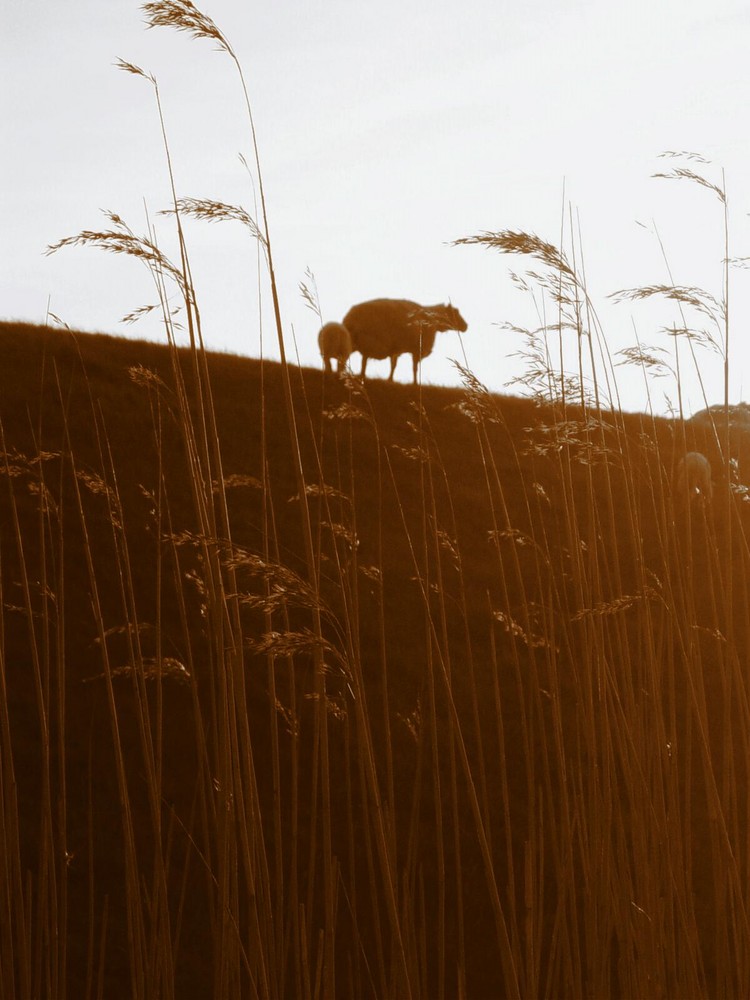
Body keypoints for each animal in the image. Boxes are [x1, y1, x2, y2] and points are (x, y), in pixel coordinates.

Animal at [342, 296, 470, 382]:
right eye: (455, 312)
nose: (466, 327)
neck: (432, 320)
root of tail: (349, 318)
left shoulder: (397, 349)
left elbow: (394, 365)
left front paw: (390, 380)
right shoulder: (416, 349)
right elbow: (414, 368)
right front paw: (415, 383)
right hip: (365, 342)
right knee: (360, 362)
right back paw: (358, 375)